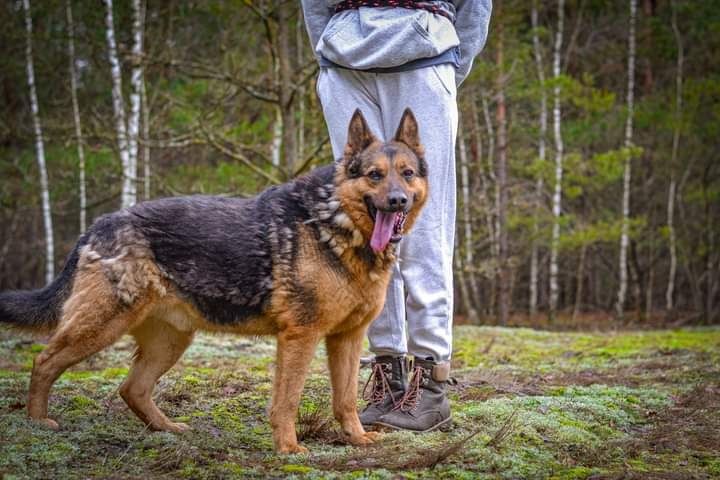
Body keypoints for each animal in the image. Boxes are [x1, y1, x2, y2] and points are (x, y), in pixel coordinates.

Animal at [0, 109, 428, 454]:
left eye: (407, 174)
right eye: (374, 175)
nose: (397, 201)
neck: (336, 220)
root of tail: (97, 225)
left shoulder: (347, 340)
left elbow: (346, 399)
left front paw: (356, 438)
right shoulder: (300, 338)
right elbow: (287, 400)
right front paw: (288, 448)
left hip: (170, 341)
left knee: (132, 389)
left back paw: (166, 429)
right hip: (101, 325)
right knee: (44, 361)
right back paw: (37, 421)